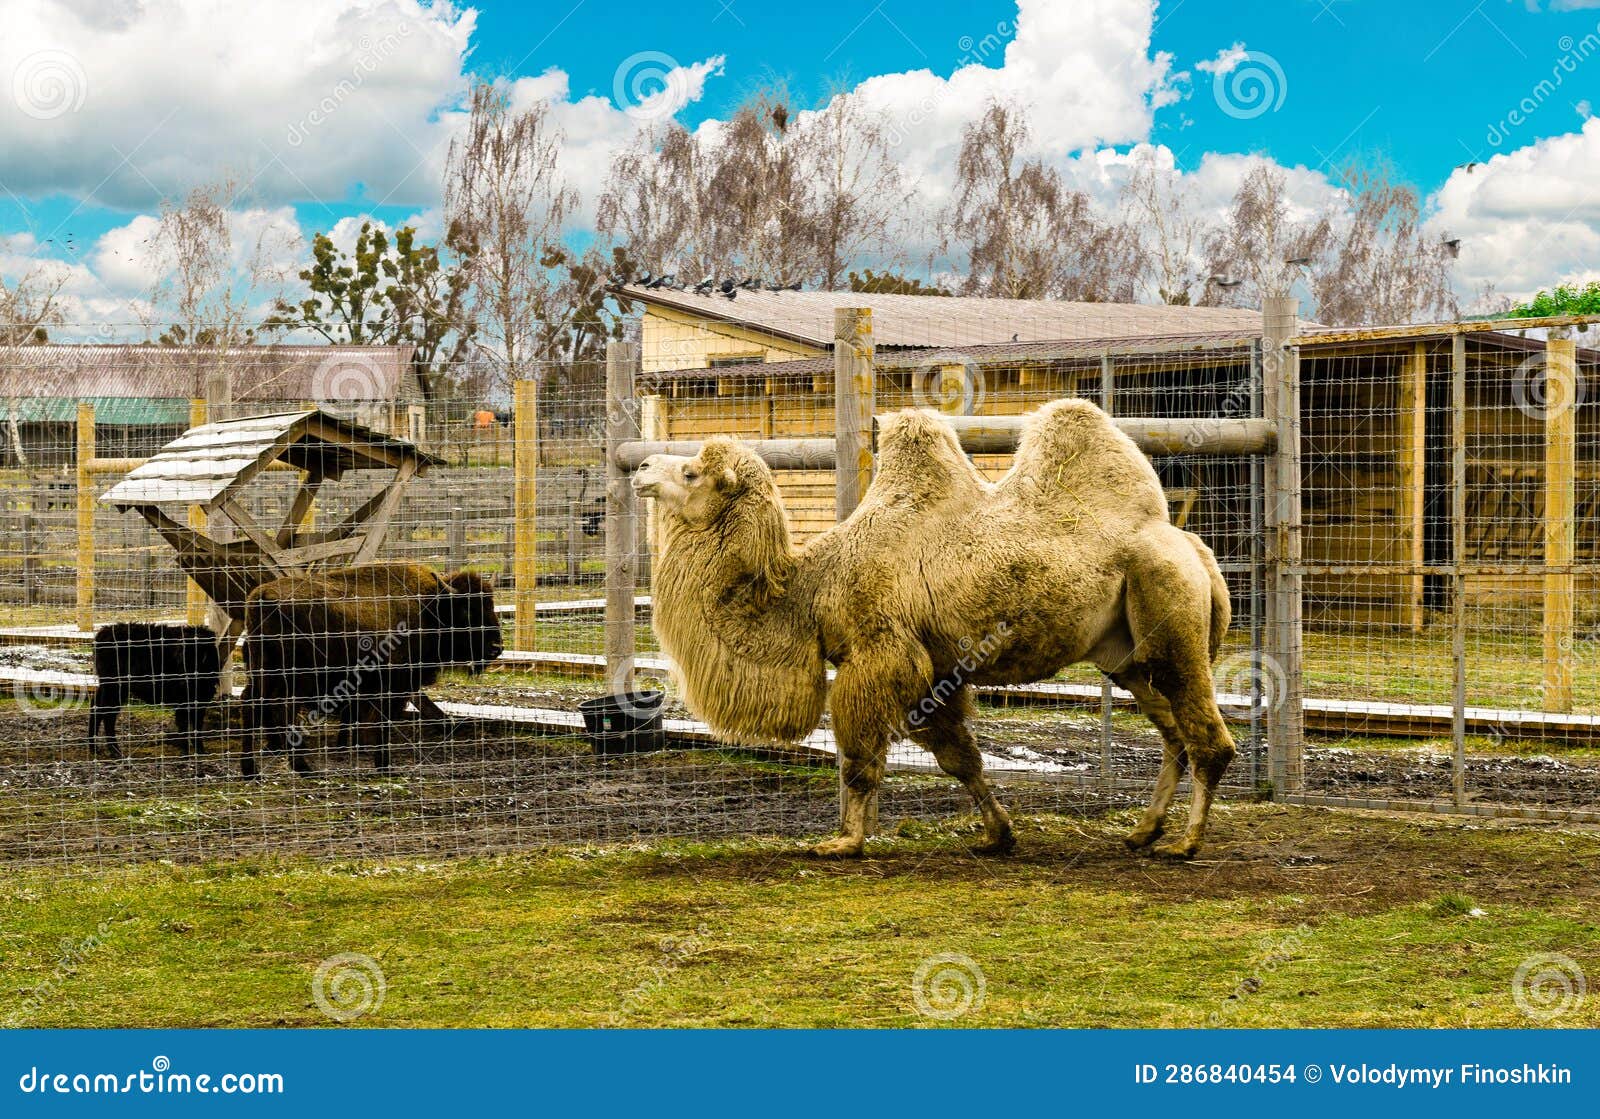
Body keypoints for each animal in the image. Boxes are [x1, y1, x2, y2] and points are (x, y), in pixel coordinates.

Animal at [632, 399, 1236, 859]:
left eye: (691, 473)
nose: (641, 469)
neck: (811, 590)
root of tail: (1194, 549)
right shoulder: (933, 670)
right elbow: (959, 758)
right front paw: (998, 835)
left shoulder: (880, 654)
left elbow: (859, 755)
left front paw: (845, 841)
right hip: (1125, 654)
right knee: (1173, 732)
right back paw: (1143, 831)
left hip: (1169, 605)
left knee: (1208, 737)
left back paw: (1184, 843)